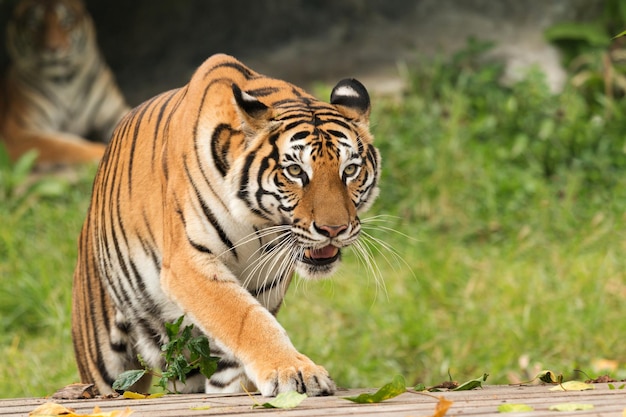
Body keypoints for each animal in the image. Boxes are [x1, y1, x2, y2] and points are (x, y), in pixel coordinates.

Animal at [0, 0, 128, 167]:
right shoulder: (17, 135)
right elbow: (65, 146)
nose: (53, 48)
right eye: (35, 25)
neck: (66, 81)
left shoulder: (114, 113)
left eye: (66, 23)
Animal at [70, 52, 378, 396]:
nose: (333, 230)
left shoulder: (264, 283)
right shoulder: (187, 263)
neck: (258, 224)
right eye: (296, 171)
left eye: (349, 170)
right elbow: (244, 317)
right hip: (104, 358)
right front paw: (294, 371)